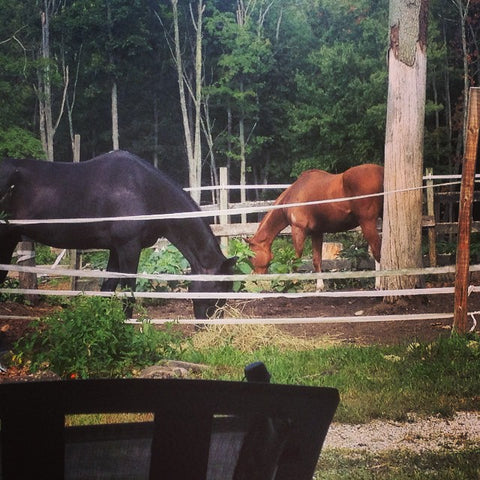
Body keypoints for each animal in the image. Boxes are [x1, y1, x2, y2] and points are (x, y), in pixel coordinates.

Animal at [0, 150, 236, 318]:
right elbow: (128, 292)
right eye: (219, 289)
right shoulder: (129, 248)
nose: (207, 326)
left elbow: (107, 288)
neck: (144, 190)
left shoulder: (115, 250)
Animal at [249, 164, 384, 288]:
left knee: (377, 250)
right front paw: (319, 287)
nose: (255, 279)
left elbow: (296, 259)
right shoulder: (317, 233)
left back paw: (379, 283)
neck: (293, 195)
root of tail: (381, 171)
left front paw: (293, 283)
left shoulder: (298, 230)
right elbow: (316, 260)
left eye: (251, 256)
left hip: (367, 223)